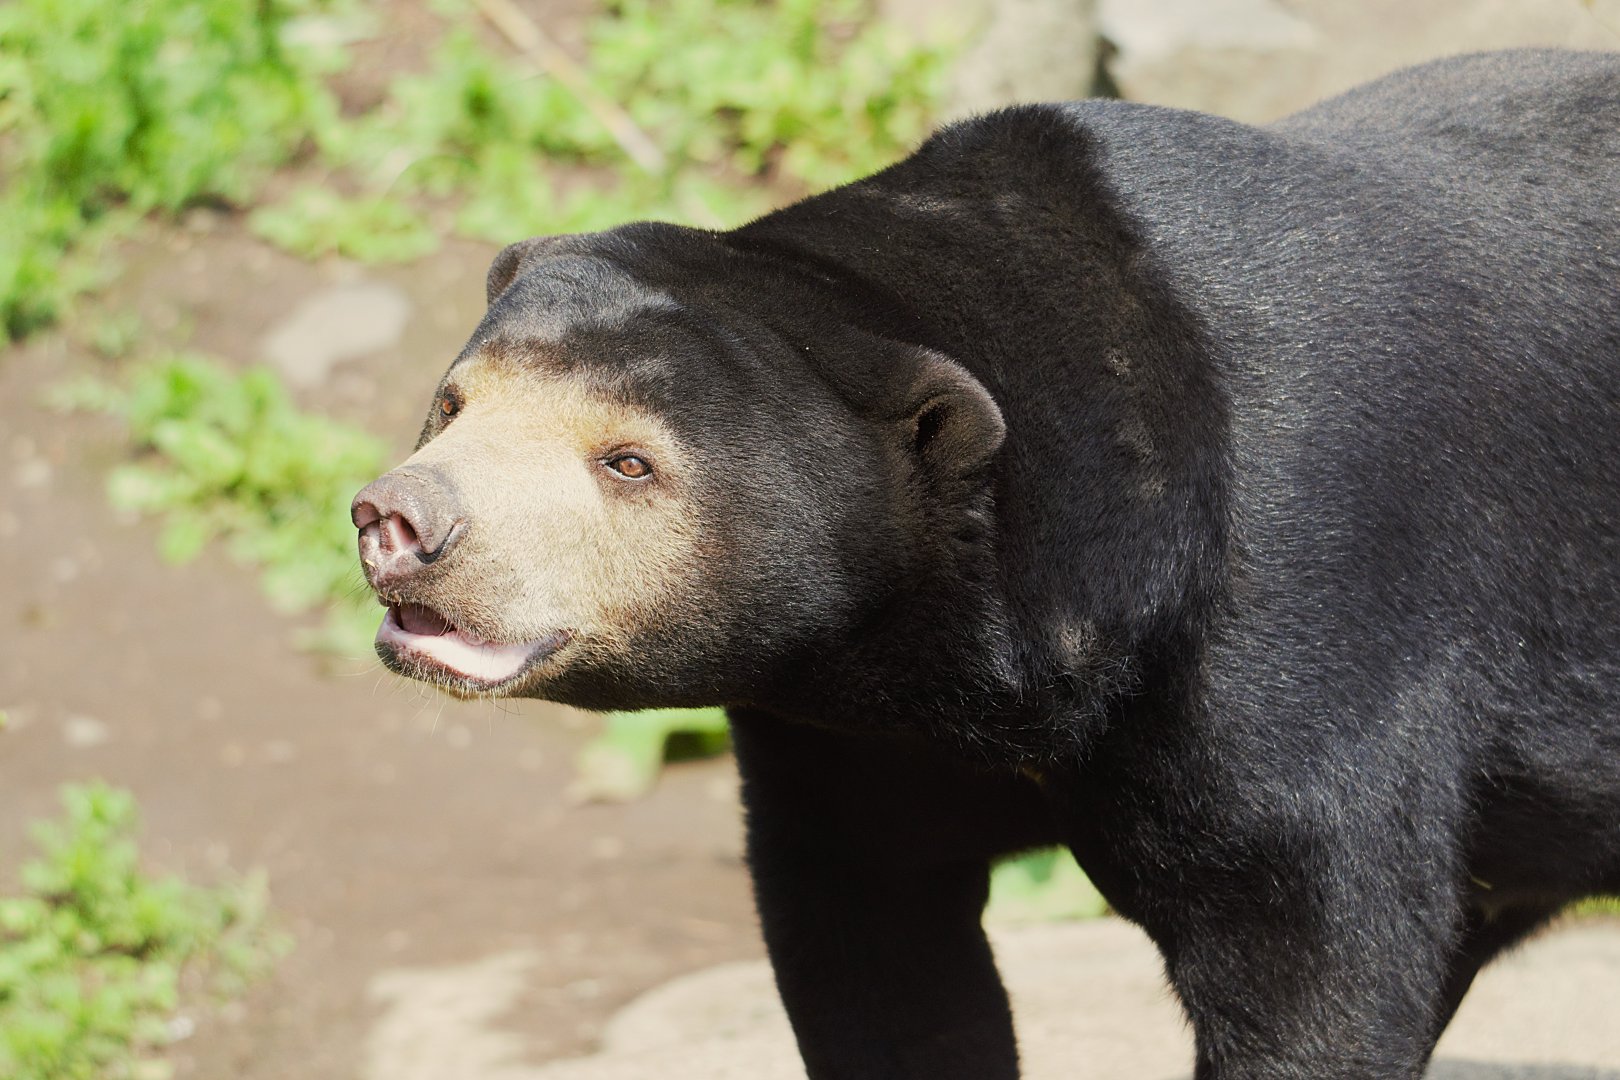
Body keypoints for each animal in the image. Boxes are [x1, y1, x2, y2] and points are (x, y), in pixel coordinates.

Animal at [352, 49, 1620, 1079]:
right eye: (452, 404)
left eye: (627, 461)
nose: (398, 520)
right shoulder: (851, 731)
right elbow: (875, 943)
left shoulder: (1292, 626)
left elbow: (1312, 943)